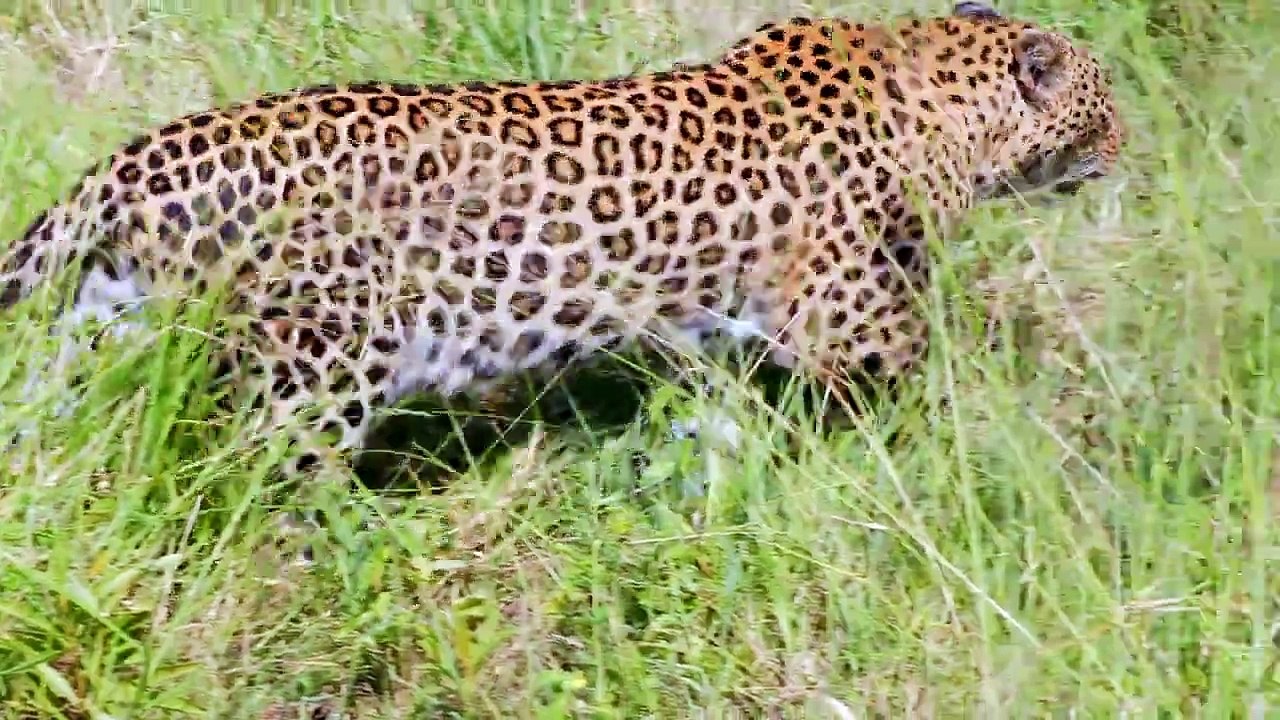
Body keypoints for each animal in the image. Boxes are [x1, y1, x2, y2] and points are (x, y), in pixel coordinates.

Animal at [0, 2, 1123, 496]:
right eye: (1104, 106)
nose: (1125, 151)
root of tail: (133, 160)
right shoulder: (850, 320)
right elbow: (938, 379)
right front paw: (1012, 448)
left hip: (98, 328)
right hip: (324, 359)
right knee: (261, 477)